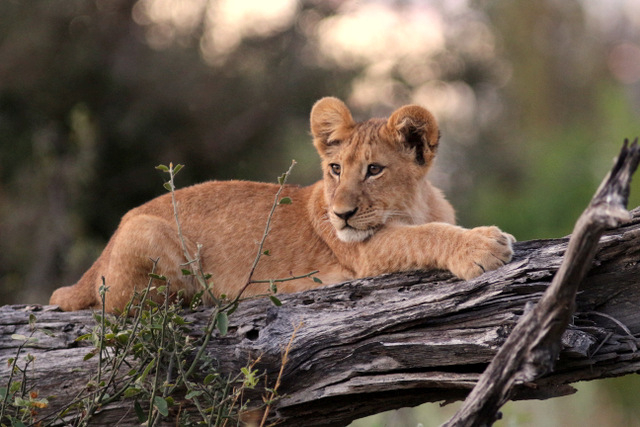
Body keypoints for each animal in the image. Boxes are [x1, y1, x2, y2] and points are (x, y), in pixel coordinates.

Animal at [50, 97, 514, 313]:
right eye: (334, 169)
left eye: (374, 170)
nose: (341, 214)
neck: (414, 206)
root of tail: (96, 261)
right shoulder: (364, 253)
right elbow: (422, 237)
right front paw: (482, 246)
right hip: (146, 230)